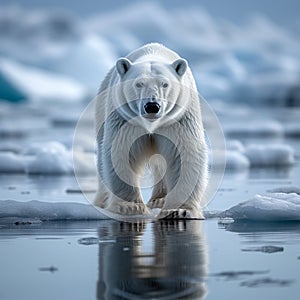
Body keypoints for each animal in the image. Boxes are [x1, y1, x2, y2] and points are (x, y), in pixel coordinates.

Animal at [95, 42, 207, 219]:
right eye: (138, 83)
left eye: (165, 84)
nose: (152, 106)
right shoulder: (125, 119)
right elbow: (121, 151)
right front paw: (130, 207)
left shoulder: (179, 118)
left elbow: (185, 153)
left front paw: (179, 210)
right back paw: (102, 202)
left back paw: (159, 200)